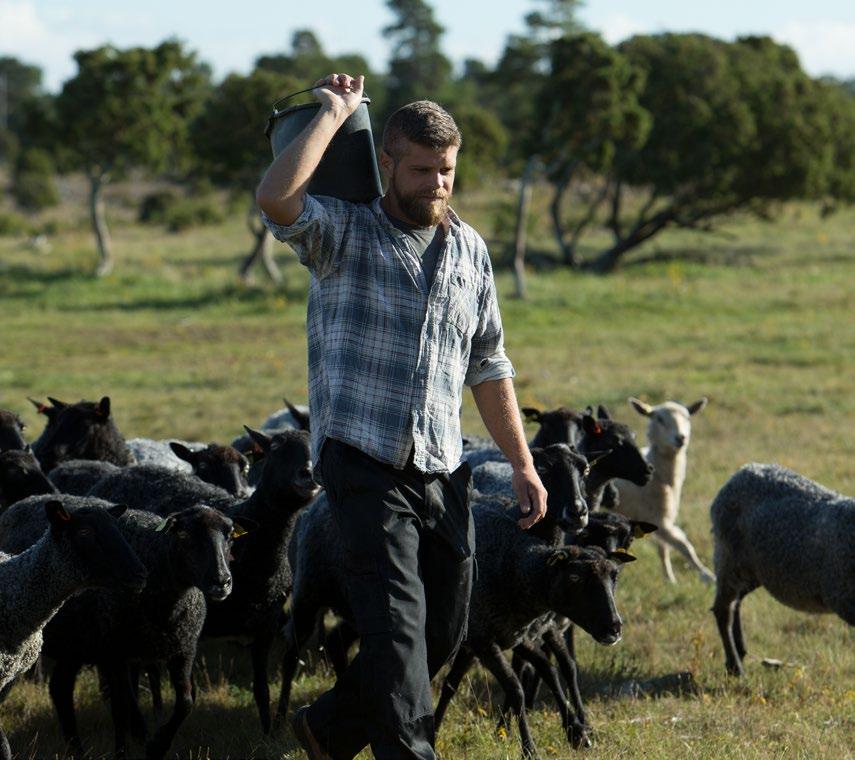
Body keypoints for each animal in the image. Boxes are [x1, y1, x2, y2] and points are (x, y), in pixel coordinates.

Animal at [612, 398, 712, 580]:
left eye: (687, 418)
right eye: (659, 419)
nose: (680, 438)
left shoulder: (660, 517)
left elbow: (663, 550)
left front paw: (669, 579)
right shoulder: (656, 517)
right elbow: (684, 545)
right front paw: (707, 574)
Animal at [708, 464, 855, 676]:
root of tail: (742, 471)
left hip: (753, 570)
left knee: (736, 602)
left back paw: (740, 652)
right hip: (729, 557)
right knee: (723, 609)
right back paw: (736, 667)